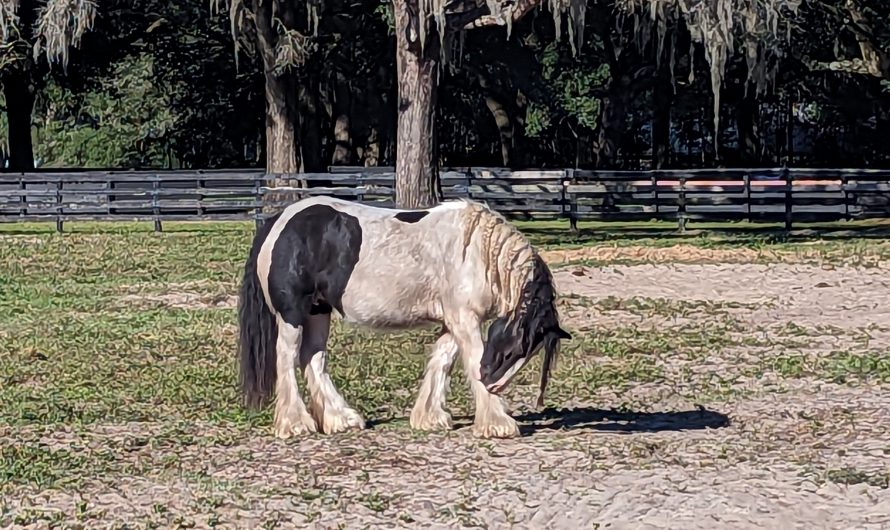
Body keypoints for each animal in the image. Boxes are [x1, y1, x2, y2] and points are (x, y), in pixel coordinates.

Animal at [236, 195, 568, 438]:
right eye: (515, 349)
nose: (493, 386)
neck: (476, 251)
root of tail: (278, 221)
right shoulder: (464, 318)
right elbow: (472, 357)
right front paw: (498, 423)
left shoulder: (453, 320)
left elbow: (442, 360)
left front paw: (430, 417)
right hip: (292, 314)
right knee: (287, 357)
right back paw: (295, 424)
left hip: (319, 311)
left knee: (313, 358)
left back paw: (340, 418)